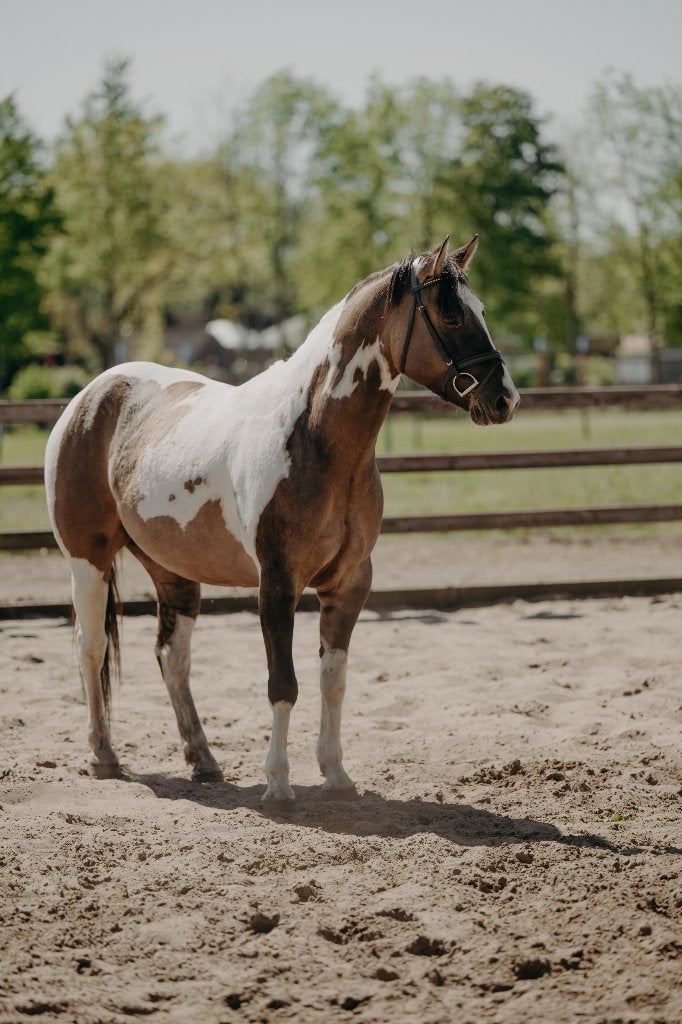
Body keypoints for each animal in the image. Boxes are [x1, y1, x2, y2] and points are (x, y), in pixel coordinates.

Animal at [45, 236, 519, 802]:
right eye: (449, 314)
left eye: (483, 311)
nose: (504, 399)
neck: (314, 437)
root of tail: (89, 396)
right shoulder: (277, 584)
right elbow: (283, 683)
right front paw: (278, 782)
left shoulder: (348, 584)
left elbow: (332, 680)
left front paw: (336, 774)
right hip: (86, 562)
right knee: (91, 648)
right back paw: (103, 755)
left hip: (173, 572)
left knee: (171, 658)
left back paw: (203, 760)